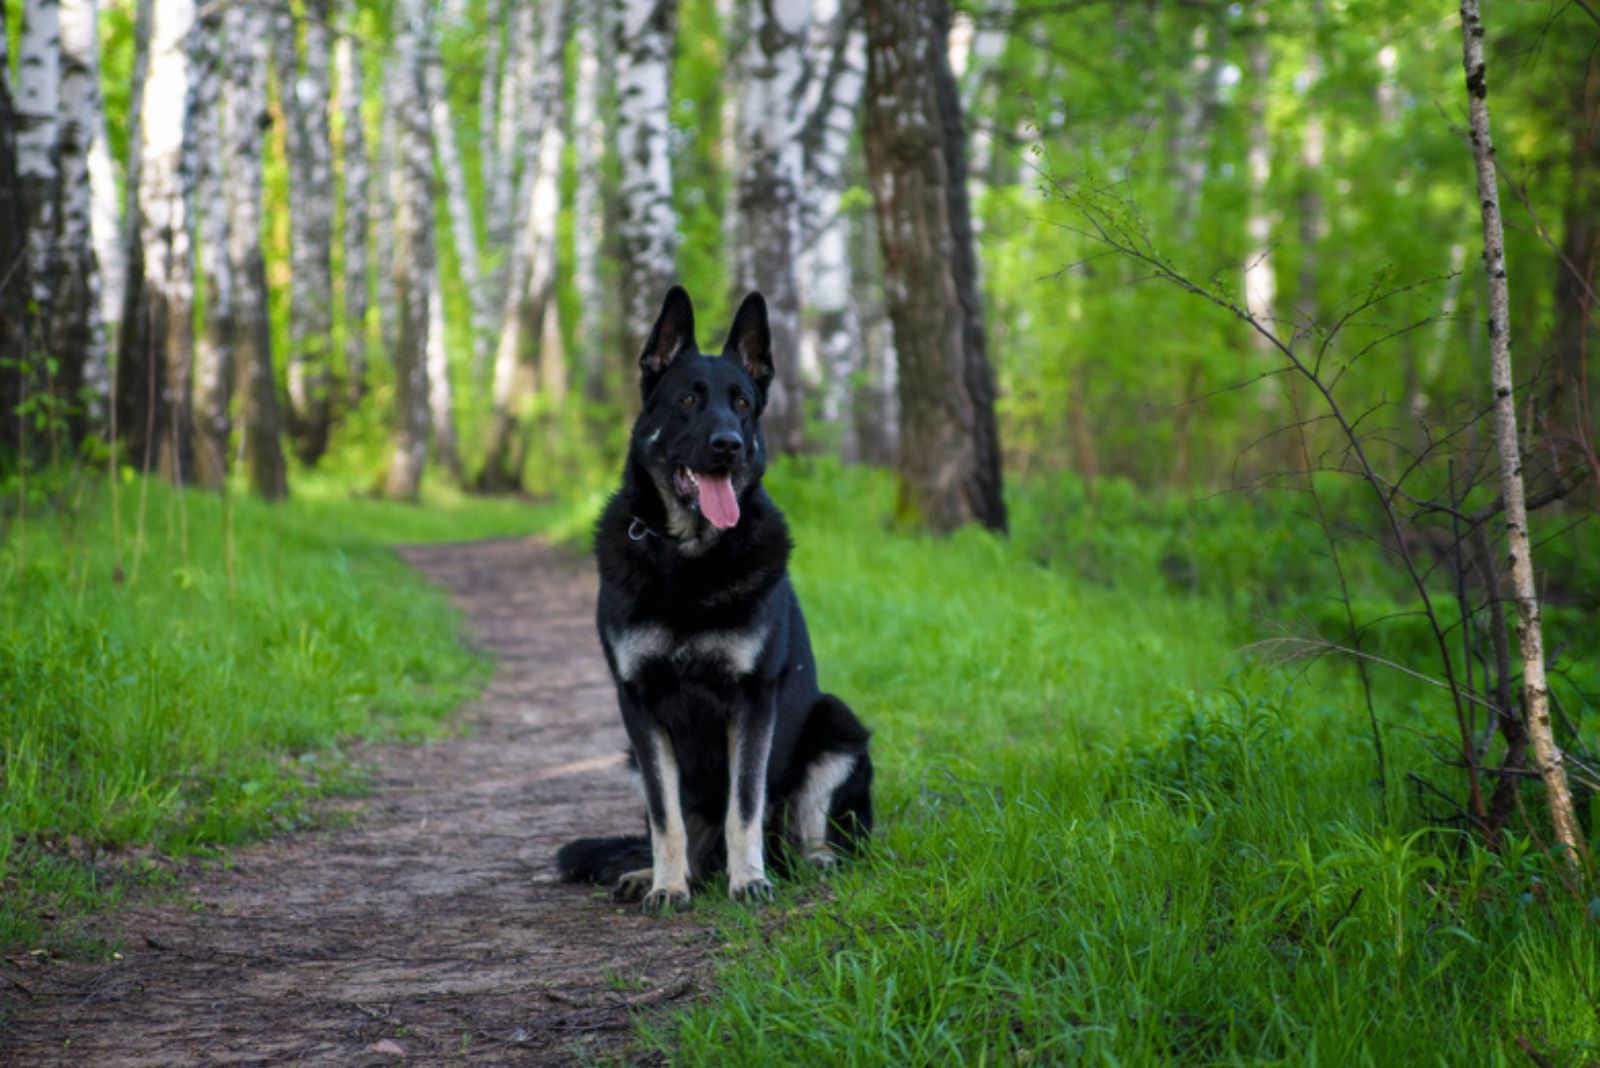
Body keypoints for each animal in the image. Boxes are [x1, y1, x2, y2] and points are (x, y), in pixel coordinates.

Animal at [553, 287, 876, 914]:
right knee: (693, 839)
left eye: (743, 403)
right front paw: (666, 884)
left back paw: (810, 861)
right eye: (687, 399)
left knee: (802, 826)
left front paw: (747, 880)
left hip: (837, 723)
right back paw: (657, 874)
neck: (689, 558)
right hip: (631, 756)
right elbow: (666, 817)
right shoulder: (639, 706)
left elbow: (743, 806)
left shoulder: (753, 701)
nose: (728, 444)